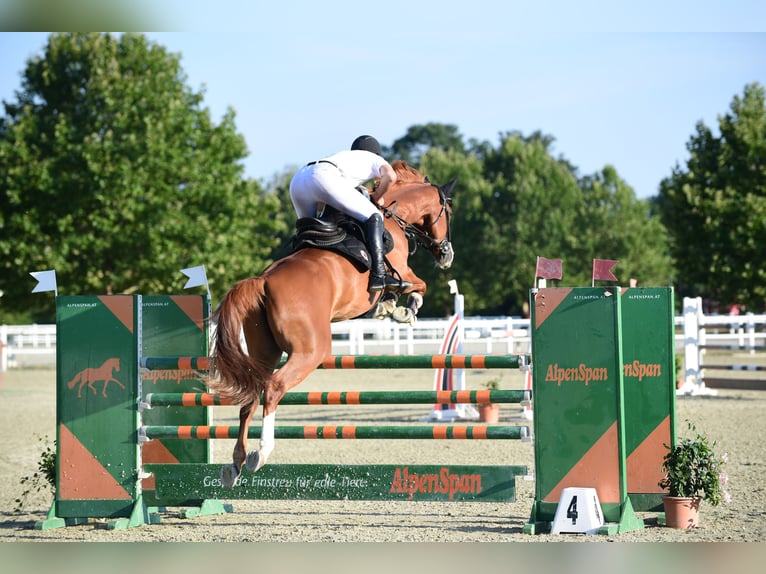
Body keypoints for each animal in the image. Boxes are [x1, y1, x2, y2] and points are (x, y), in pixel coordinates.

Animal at [208, 161, 456, 486]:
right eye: (448, 211)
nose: (446, 254)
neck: (394, 215)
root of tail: (262, 281)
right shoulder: (403, 271)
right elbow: (418, 286)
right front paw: (403, 308)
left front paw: (389, 307)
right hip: (311, 351)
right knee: (273, 387)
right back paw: (260, 453)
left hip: (265, 351)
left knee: (251, 395)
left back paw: (235, 464)